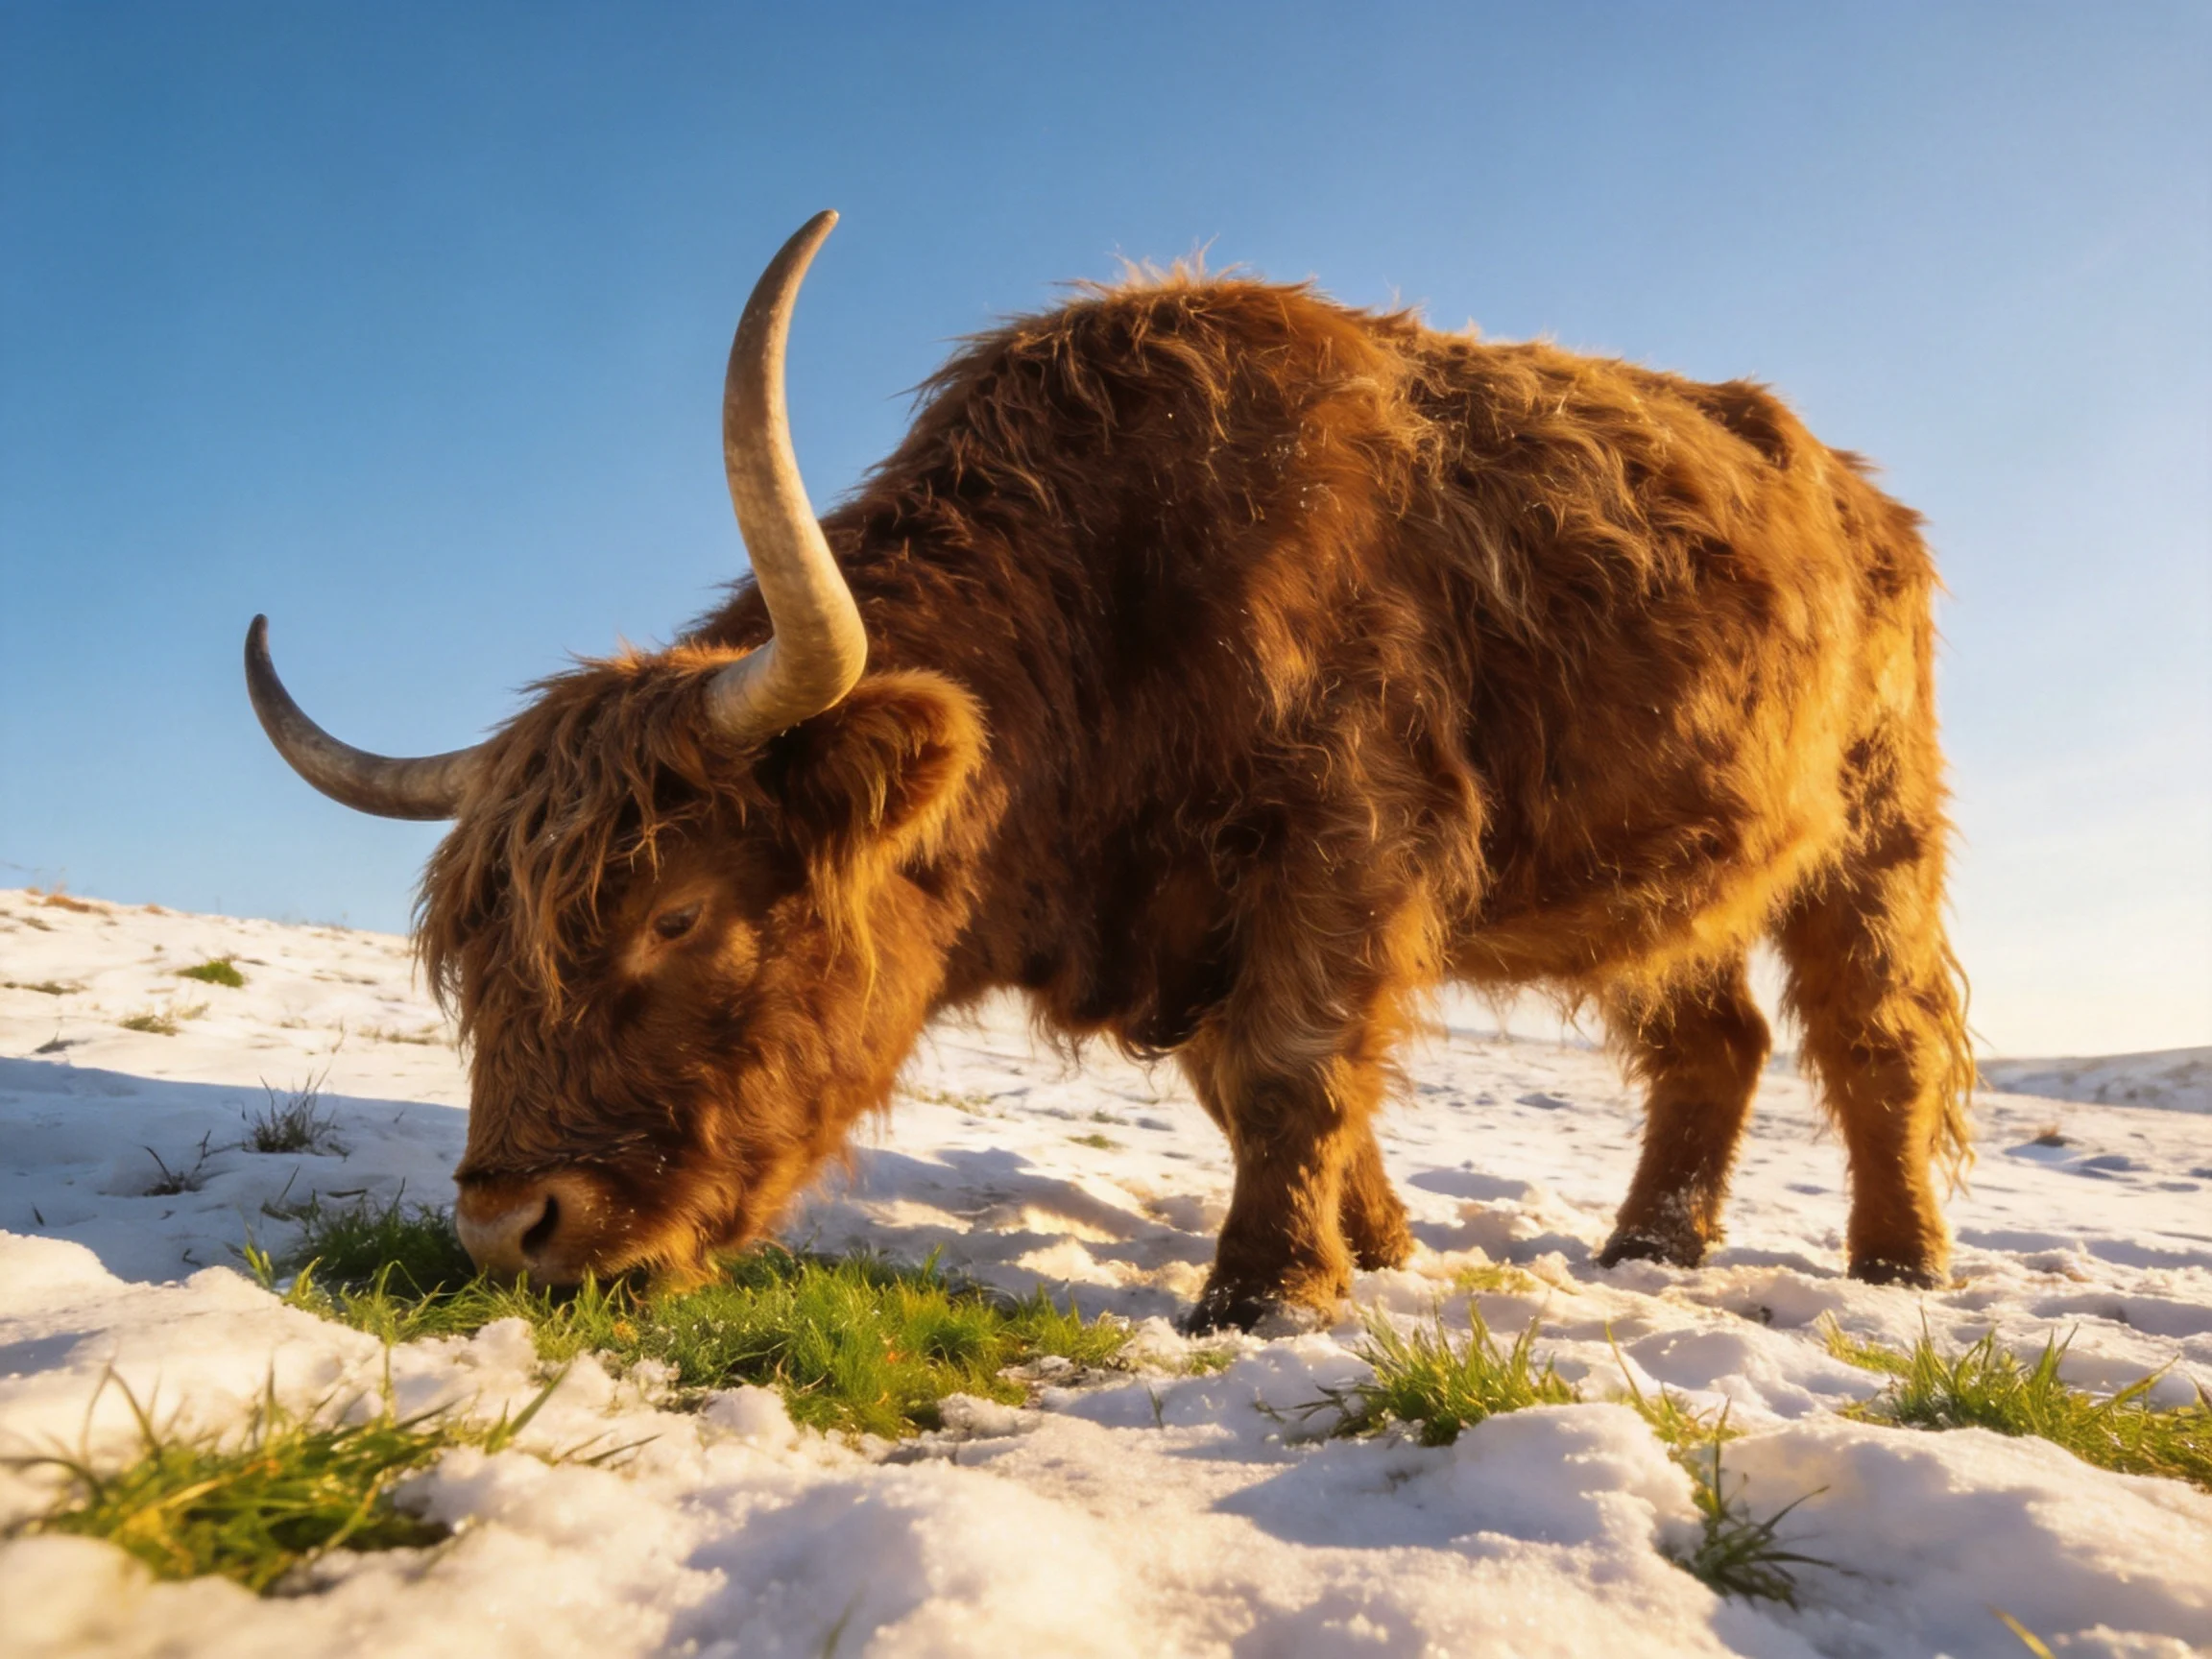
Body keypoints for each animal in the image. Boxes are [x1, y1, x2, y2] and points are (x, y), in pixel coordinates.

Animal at [247, 212, 1973, 1331]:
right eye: (471, 951)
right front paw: (1379, 1246)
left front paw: (1266, 1293)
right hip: (1664, 868)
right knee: (1712, 1039)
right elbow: (1254, 1082)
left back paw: (1897, 1265)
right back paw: (1649, 1252)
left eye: (677, 914)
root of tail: (1864, 491)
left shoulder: (1346, 835)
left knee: (1873, 1034)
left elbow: (1290, 1064)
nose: (506, 1227)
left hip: (1871, 824)